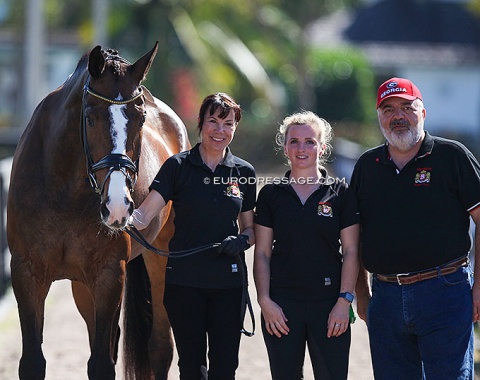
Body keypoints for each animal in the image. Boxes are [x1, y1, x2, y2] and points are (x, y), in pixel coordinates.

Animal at [6, 43, 189, 378]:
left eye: (141, 118)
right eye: (89, 117)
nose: (118, 206)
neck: (63, 191)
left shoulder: (108, 274)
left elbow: (102, 363)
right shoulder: (26, 272)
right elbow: (33, 362)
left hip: (161, 257)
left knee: (160, 347)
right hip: (81, 286)